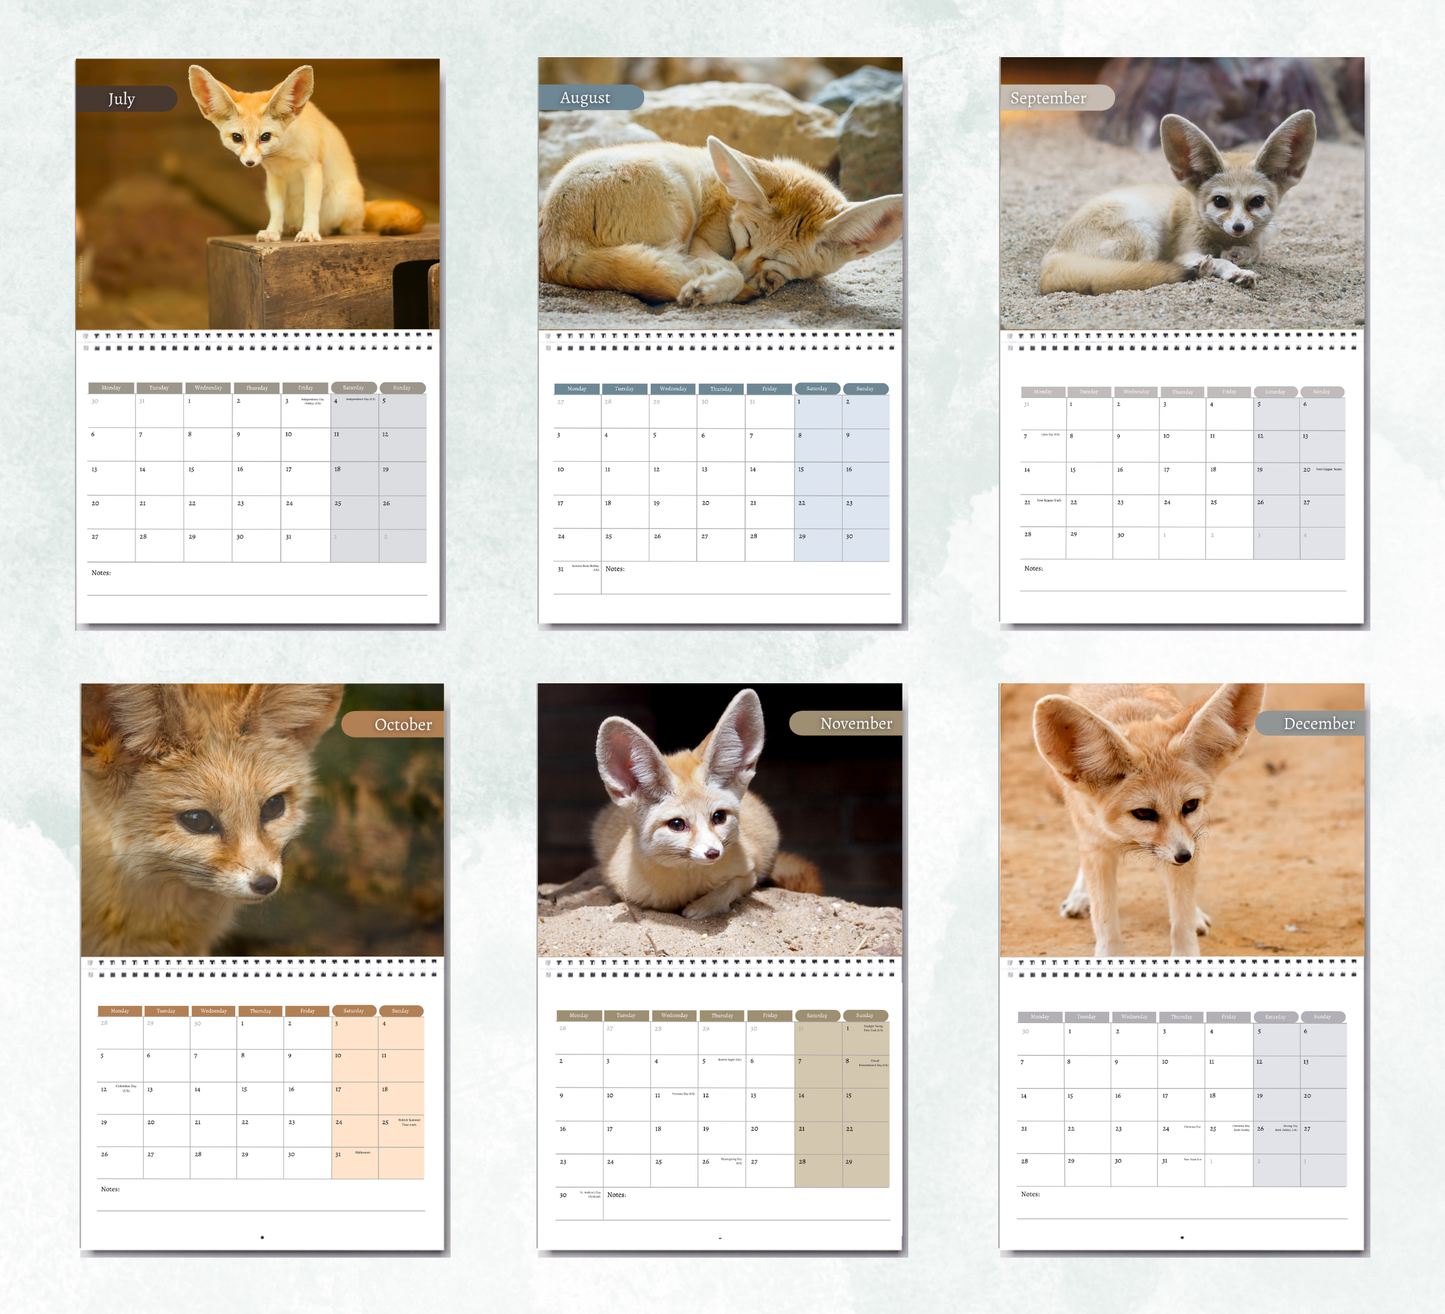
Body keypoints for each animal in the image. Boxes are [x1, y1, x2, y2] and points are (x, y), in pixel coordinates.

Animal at [188, 64, 425, 243]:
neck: (284, 155)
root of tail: (363, 207)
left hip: (340, 202)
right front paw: (273, 231)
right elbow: (276, 210)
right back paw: (293, 227)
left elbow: (311, 206)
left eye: (265, 137)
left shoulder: (312, 167)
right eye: (237, 138)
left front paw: (310, 231)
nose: (249, 162)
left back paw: (326, 230)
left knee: (349, 227)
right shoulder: (275, 176)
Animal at [539, 135, 902, 306]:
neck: (730, 201)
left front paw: (767, 278)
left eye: (779, 258)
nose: (744, 267)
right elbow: (731, 273)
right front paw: (712, 286)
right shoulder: (700, 240)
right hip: (680, 207)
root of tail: (557, 251)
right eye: (745, 236)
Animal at [591, 688, 822, 918]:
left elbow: (731, 887)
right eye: (677, 824)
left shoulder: (750, 871)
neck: (689, 883)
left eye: (719, 817)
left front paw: (700, 907)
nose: (713, 853)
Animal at [1032, 683, 1266, 958]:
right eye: (1143, 813)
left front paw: (1186, 953)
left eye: (1190, 805)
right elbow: (1106, 923)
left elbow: (1182, 919)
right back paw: (1080, 894)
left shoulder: (1188, 841)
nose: (1184, 856)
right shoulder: (1097, 846)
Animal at [1039, 110, 1315, 295]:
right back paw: (1197, 270)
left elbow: (1254, 250)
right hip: (1144, 237)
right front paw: (1233, 270)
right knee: (1138, 272)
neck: (1223, 239)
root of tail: (1052, 257)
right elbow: (1218, 260)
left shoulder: (1261, 237)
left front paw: (1240, 255)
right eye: (1220, 201)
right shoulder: (1186, 248)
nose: (1238, 227)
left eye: (1256, 201)